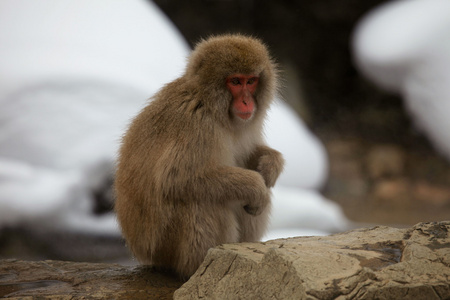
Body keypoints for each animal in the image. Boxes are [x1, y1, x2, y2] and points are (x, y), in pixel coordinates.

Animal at [114, 34, 284, 278]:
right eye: (235, 81)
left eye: (251, 81)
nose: (246, 101)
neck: (212, 105)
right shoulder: (197, 124)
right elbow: (177, 178)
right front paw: (256, 186)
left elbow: (248, 158)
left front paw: (271, 164)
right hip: (163, 245)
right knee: (202, 200)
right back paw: (201, 267)